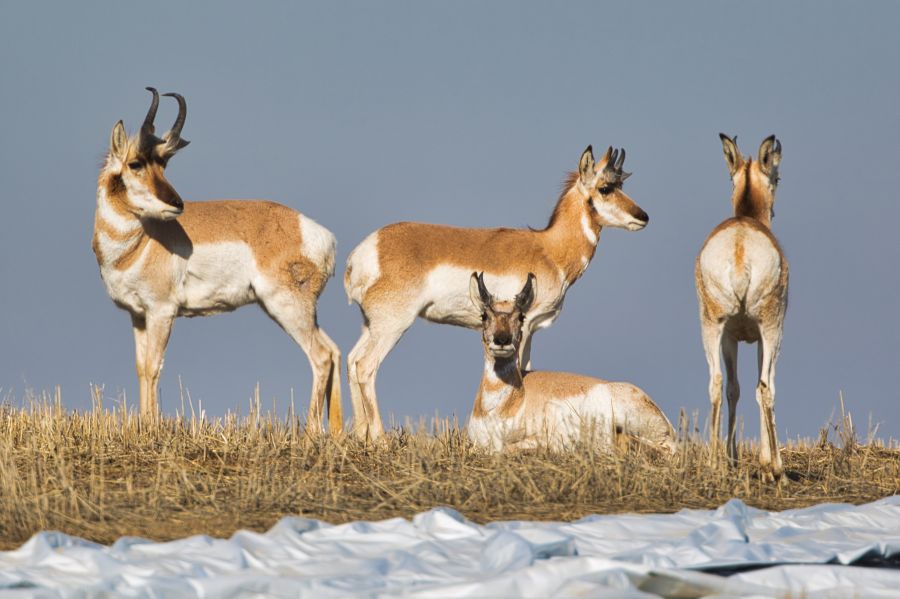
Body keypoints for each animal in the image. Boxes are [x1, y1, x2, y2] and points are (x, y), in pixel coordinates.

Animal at [92, 88, 342, 434]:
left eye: (164, 164)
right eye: (136, 163)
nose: (177, 203)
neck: (140, 241)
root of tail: (315, 232)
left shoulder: (161, 312)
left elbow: (155, 366)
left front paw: (153, 427)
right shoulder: (138, 315)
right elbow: (141, 367)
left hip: (287, 307)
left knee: (321, 356)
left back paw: (309, 434)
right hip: (296, 310)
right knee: (334, 350)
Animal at [344, 146, 649, 440]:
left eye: (621, 184)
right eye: (605, 188)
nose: (643, 216)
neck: (549, 249)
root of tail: (366, 251)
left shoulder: (531, 329)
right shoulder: (525, 326)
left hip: (371, 325)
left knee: (351, 360)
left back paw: (360, 435)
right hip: (392, 325)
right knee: (365, 366)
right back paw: (380, 439)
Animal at [695, 133, 788, 479]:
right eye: (777, 177)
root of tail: (739, 245)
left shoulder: (732, 339)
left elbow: (733, 388)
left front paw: (732, 458)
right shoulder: (762, 337)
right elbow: (762, 386)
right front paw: (765, 462)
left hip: (712, 326)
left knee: (717, 382)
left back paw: (713, 462)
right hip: (771, 328)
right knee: (765, 387)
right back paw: (777, 468)